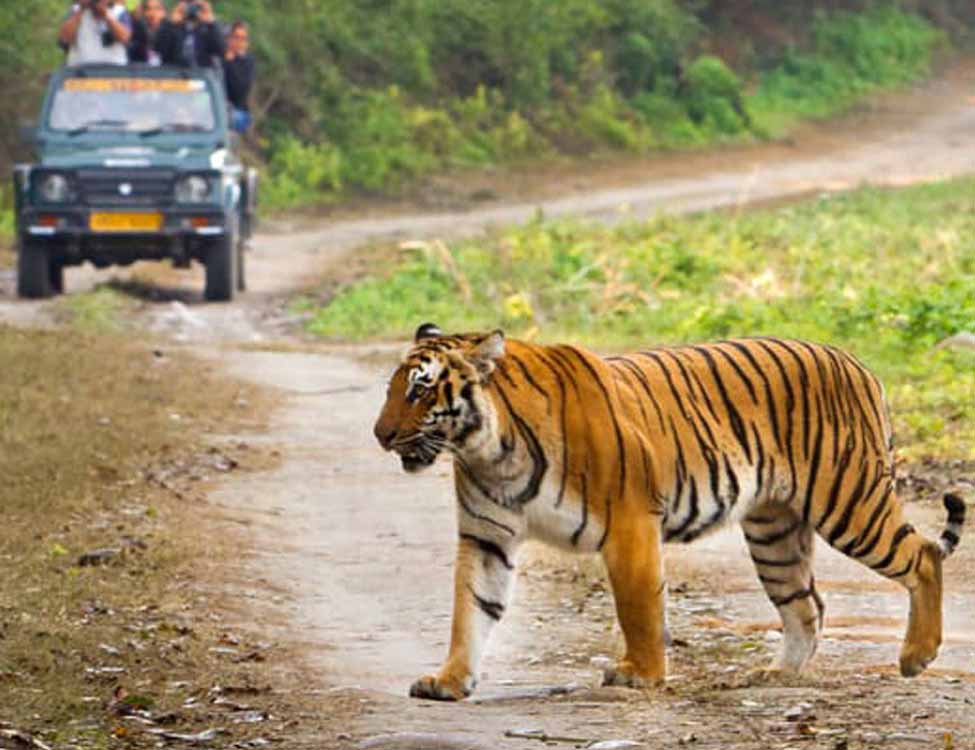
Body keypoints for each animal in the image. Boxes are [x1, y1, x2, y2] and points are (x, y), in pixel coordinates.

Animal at [370, 324, 964, 704]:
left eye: (421, 391)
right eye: (393, 389)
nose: (380, 435)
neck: (488, 450)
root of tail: (857, 363)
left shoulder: (630, 522)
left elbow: (638, 608)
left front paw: (642, 674)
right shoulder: (486, 537)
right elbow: (470, 610)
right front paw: (449, 681)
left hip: (849, 501)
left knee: (923, 555)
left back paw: (916, 655)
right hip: (774, 531)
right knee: (807, 605)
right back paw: (775, 675)